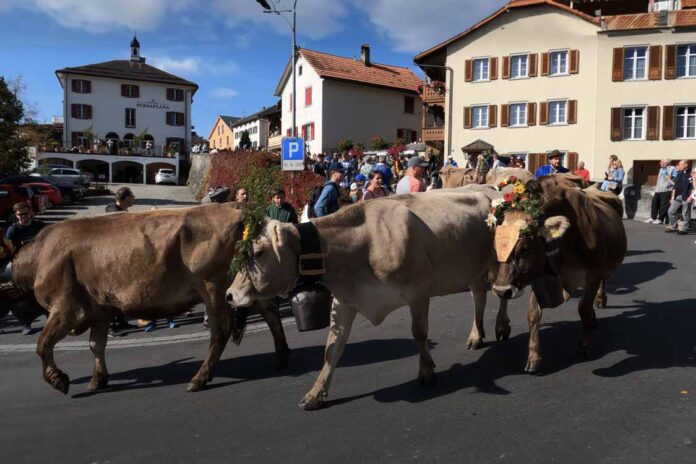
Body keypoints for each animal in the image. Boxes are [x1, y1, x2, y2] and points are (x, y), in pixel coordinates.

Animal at [13, 204, 290, 396]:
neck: (40, 256)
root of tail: (237, 207)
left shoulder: (67, 308)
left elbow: (42, 344)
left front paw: (58, 379)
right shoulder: (99, 311)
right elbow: (96, 345)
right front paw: (98, 380)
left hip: (213, 286)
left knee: (221, 330)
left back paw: (199, 378)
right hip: (246, 283)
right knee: (271, 313)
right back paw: (282, 358)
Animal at [228, 185, 506, 410]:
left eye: (259, 252)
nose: (230, 295)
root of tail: (489, 188)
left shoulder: (418, 291)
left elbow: (419, 333)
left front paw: (426, 372)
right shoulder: (344, 301)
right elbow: (332, 350)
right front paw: (315, 394)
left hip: (499, 261)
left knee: (501, 292)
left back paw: (502, 327)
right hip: (471, 268)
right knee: (479, 296)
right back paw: (476, 335)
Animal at [490, 176, 624, 372]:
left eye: (525, 247)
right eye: (496, 246)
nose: (501, 291)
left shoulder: (593, 272)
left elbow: (583, 308)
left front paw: (583, 346)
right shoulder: (539, 275)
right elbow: (533, 314)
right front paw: (534, 357)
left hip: (604, 266)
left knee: (602, 283)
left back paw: (600, 300)